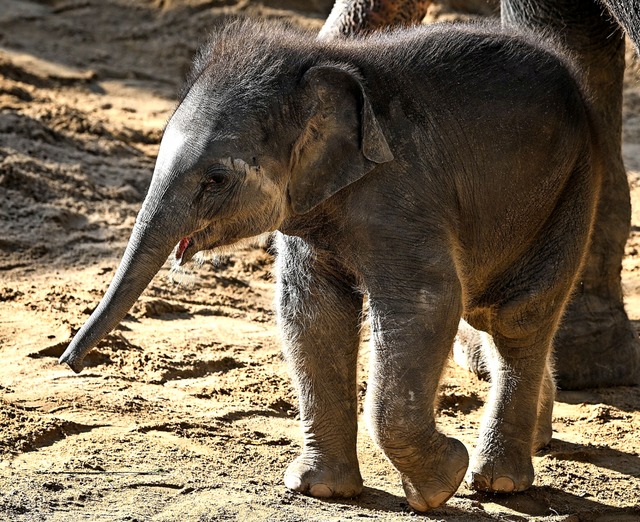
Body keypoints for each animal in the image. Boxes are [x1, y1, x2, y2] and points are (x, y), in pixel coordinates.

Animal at [60, 19, 600, 508]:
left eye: (215, 179)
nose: (67, 363)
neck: (319, 63)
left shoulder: (404, 197)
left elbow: (426, 304)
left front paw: (442, 481)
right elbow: (312, 313)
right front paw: (319, 490)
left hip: (571, 187)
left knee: (516, 317)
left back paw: (499, 482)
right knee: (492, 318)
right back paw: (536, 441)